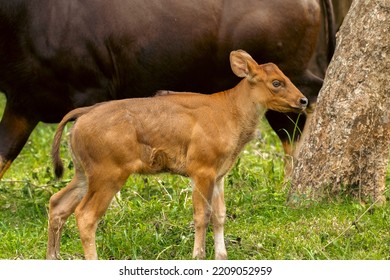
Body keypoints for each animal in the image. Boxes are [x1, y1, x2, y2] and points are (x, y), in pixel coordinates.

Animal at [45, 50, 308, 260]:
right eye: (276, 82)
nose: (303, 100)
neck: (230, 112)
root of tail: (83, 114)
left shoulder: (219, 174)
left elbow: (220, 215)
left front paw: (221, 255)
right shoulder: (201, 170)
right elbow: (202, 215)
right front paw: (198, 255)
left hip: (84, 173)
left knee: (57, 203)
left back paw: (53, 257)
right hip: (109, 174)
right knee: (85, 215)